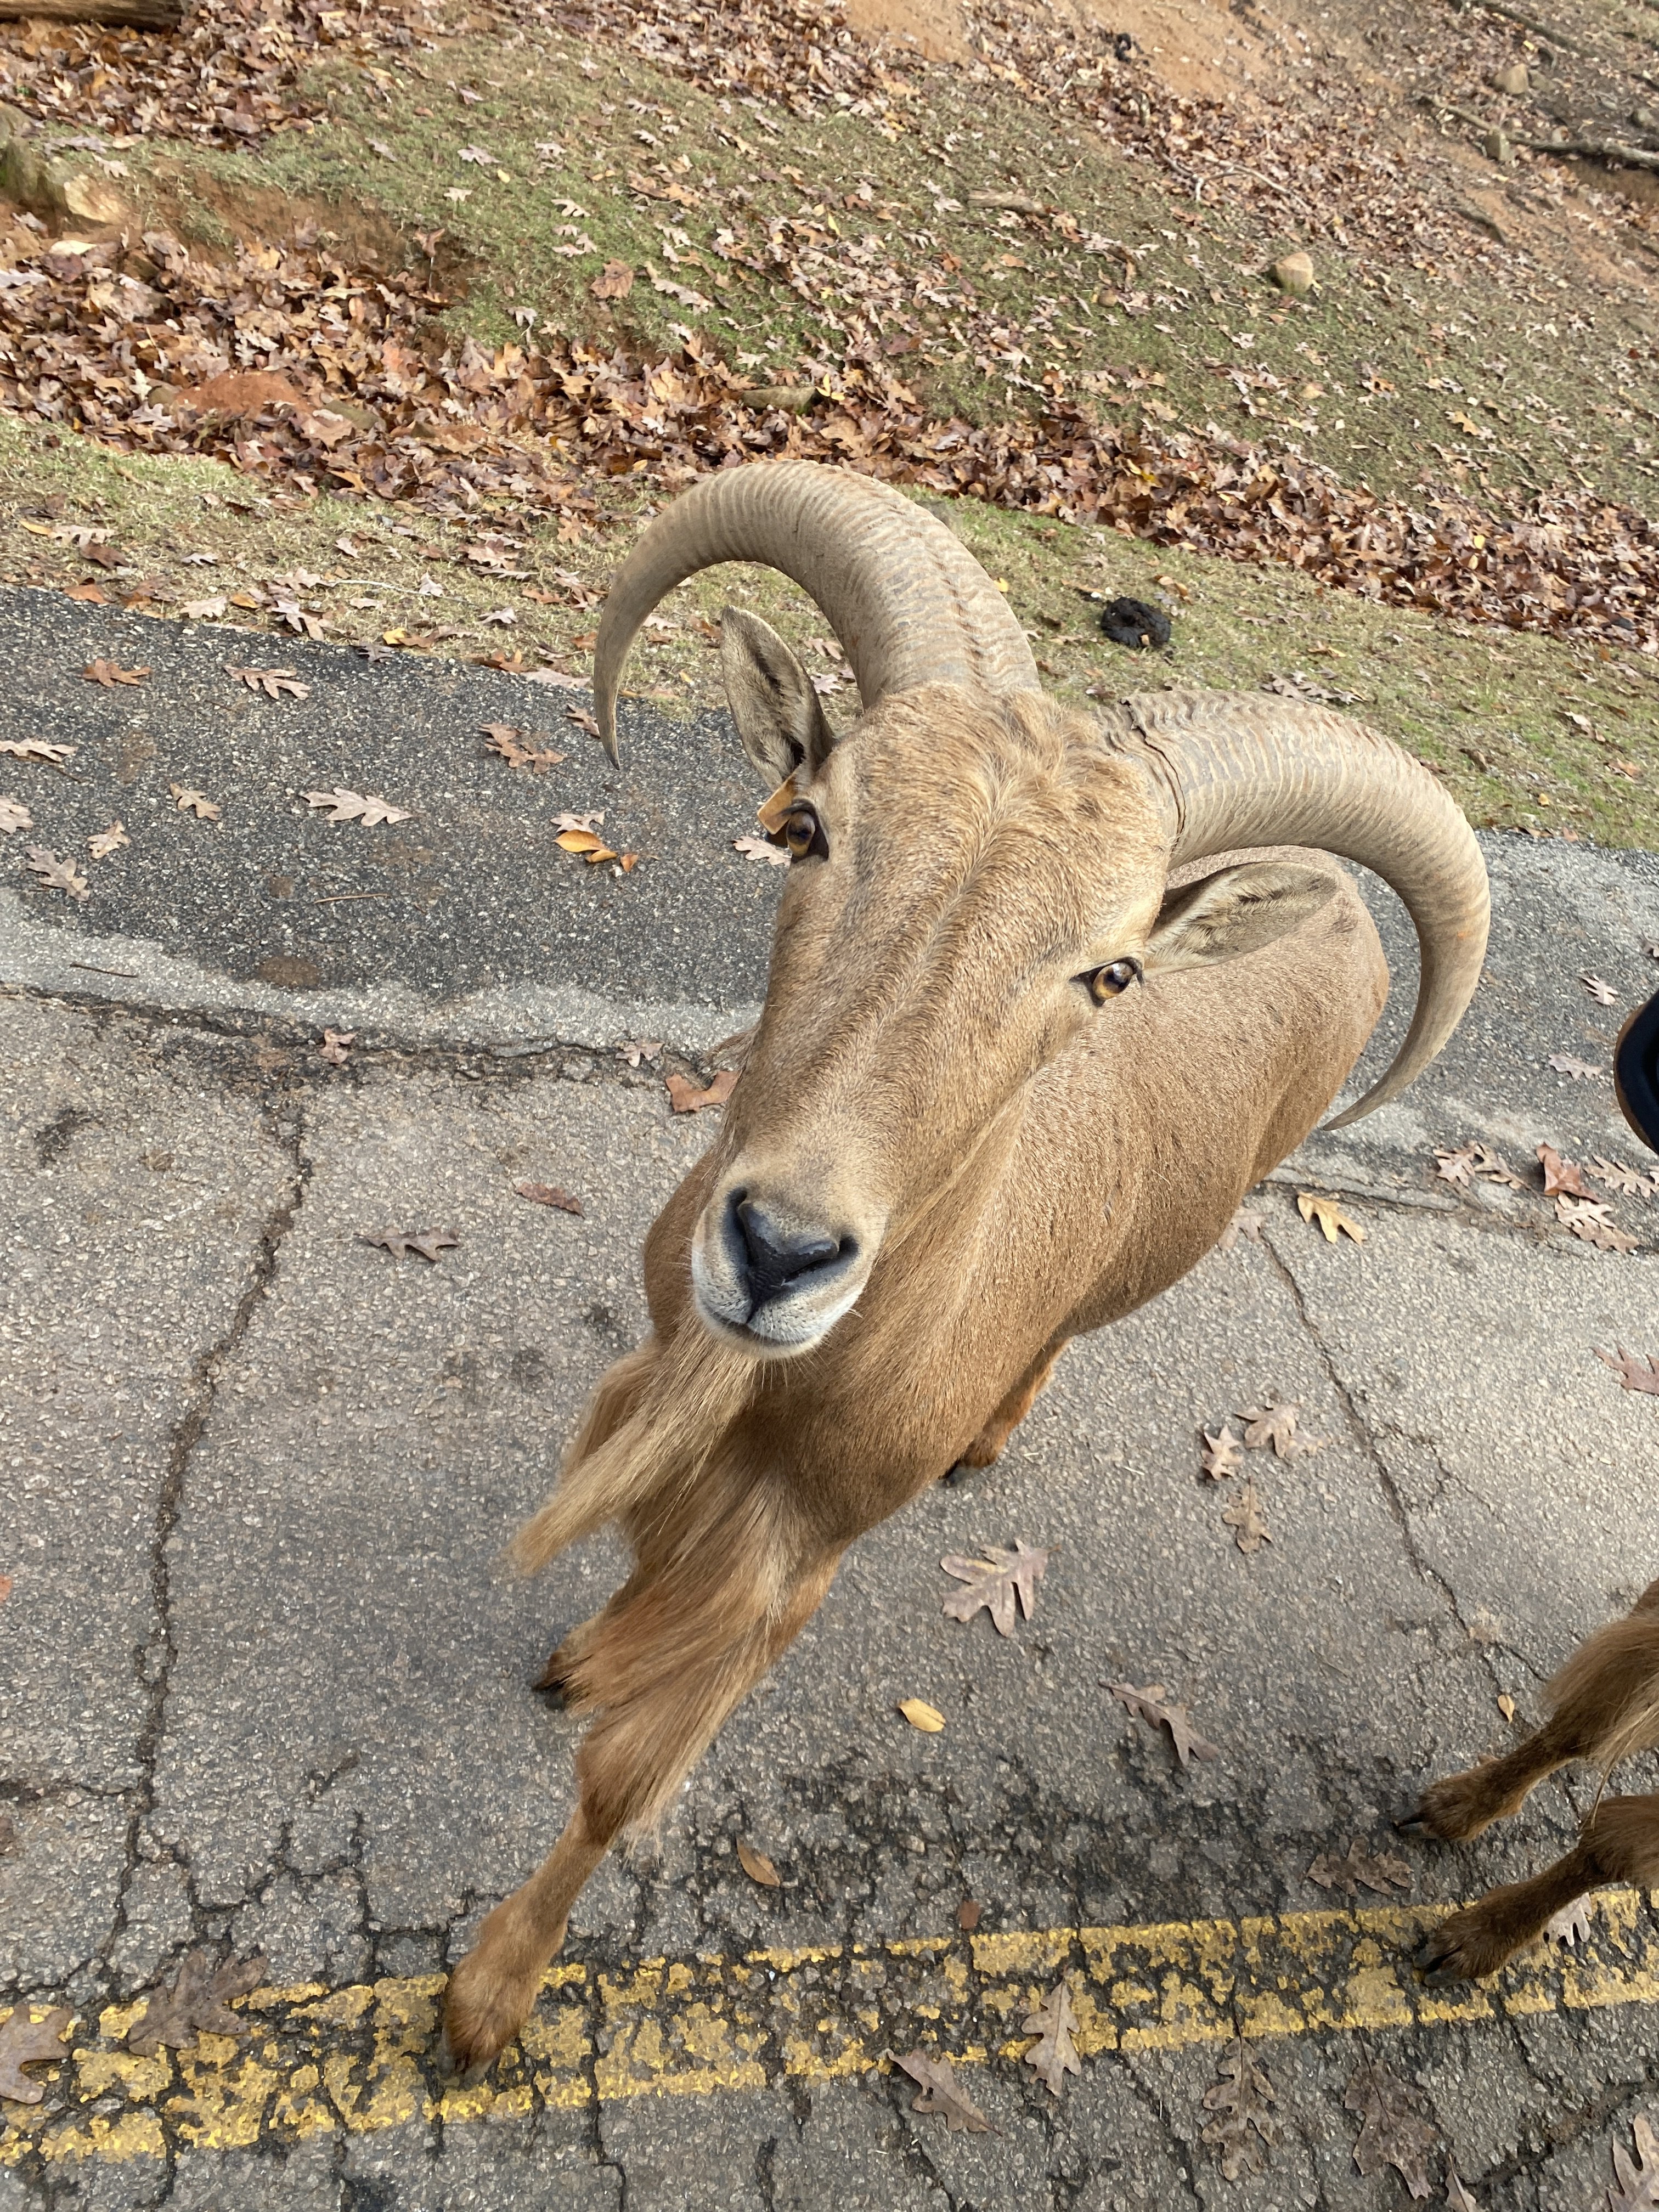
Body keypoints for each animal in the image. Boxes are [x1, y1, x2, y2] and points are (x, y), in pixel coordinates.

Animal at [443, 459, 1491, 2071]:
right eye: (809, 828)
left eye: (1109, 971)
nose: (780, 1250)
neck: (785, 1383)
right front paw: (580, 1657)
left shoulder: (802, 1546)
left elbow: (629, 1776)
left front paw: (488, 1997)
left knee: (1073, 1330)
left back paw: (993, 1437)